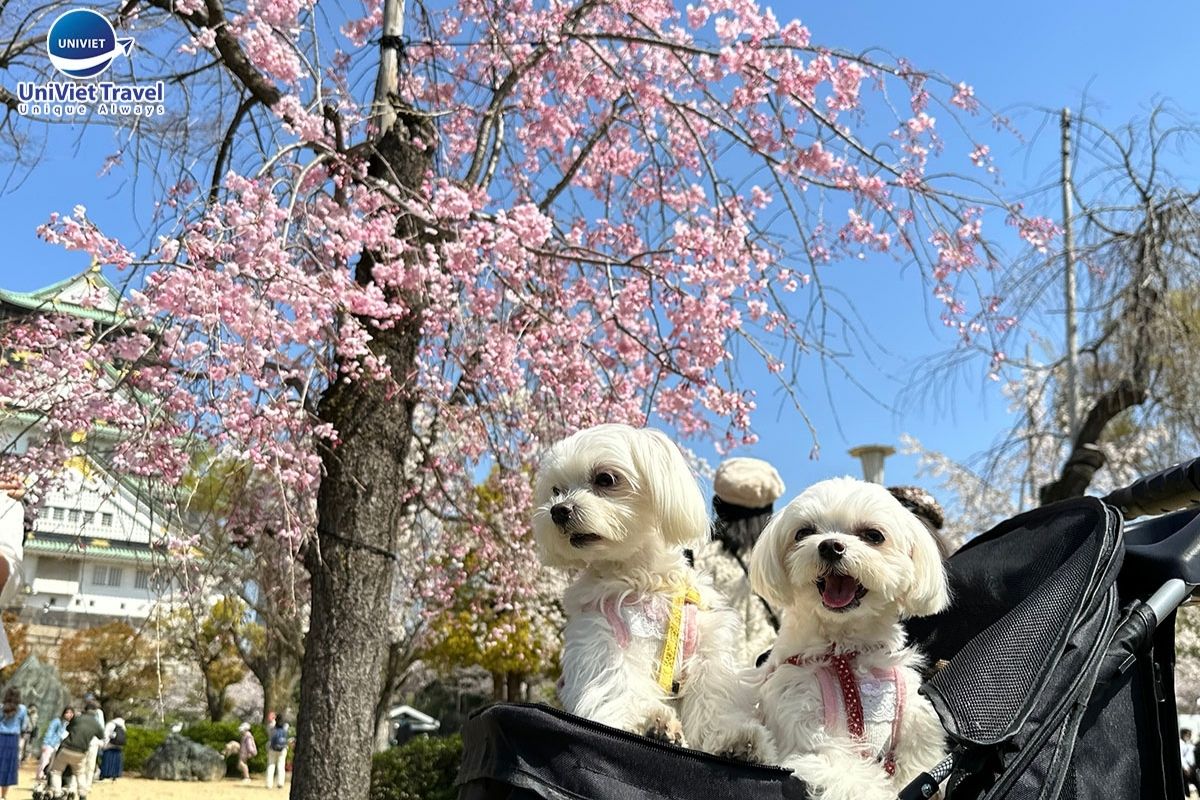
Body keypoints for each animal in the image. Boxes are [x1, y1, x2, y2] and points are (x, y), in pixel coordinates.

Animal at [533, 423, 775, 762]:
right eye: (555, 490)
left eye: (606, 479)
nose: (558, 511)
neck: (642, 577)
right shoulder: (601, 639)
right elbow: (616, 681)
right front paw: (650, 723)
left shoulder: (706, 645)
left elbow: (714, 695)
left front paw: (735, 740)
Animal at [749, 477, 949, 800]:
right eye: (803, 532)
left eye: (873, 535)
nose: (830, 546)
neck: (845, 652)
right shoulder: (811, 732)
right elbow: (851, 775)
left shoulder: (914, 730)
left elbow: (917, 767)